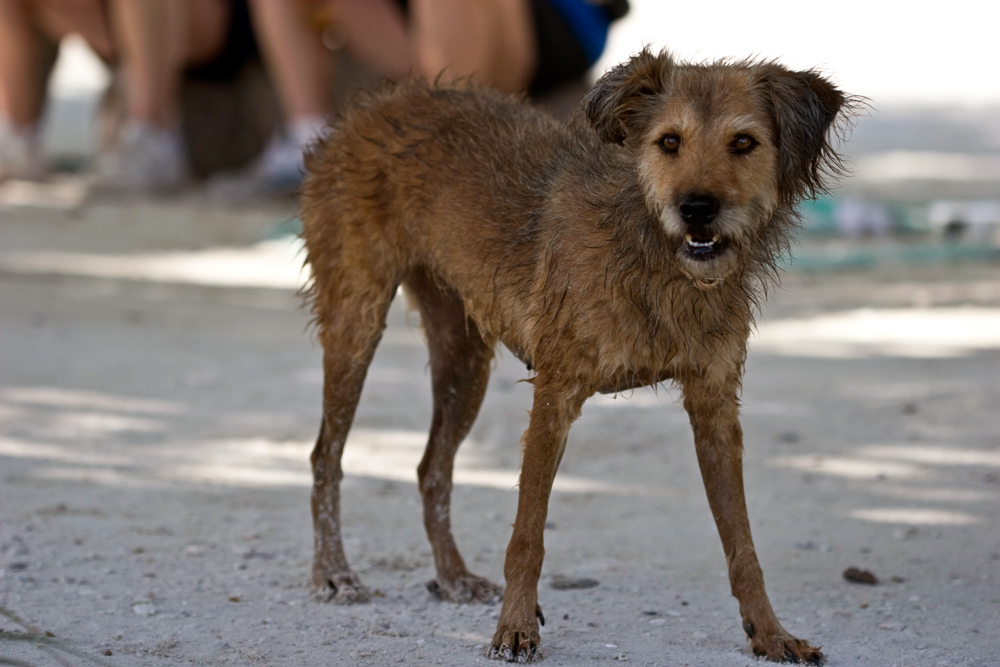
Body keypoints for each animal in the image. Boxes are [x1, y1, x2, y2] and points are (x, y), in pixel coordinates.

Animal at [300, 49, 848, 664]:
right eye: (669, 142)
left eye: (744, 143)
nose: (697, 209)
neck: (651, 251)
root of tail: (373, 104)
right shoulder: (555, 396)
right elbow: (527, 534)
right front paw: (515, 628)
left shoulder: (714, 407)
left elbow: (743, 543)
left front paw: (771, 633)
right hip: (356, 325)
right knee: (326, 456)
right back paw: (334, 574)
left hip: (464, 361)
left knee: (431, 469)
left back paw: (453, 576)